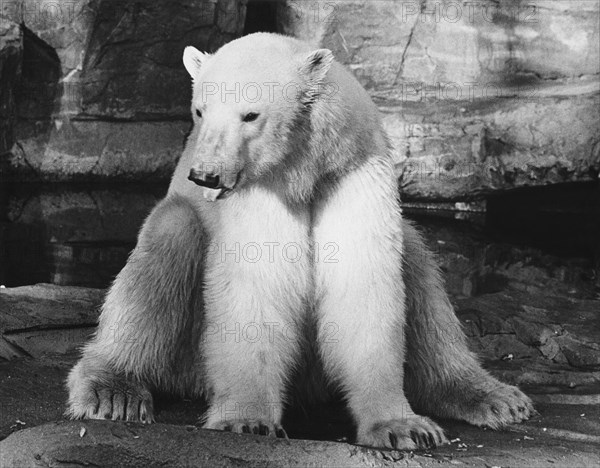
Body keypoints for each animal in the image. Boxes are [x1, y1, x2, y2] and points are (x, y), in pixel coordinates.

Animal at [67, 33, 536, 450]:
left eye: (250, 115)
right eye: (199, 110)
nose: (205, 175)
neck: (302, 170)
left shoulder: (351, 173)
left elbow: (364, 283)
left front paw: (404, 427)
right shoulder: (261, 189)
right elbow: (256, 285)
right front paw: (247, 421)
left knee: (418, 266)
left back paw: (494, 397)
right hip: (187, 348)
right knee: (165, 248)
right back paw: (115, 392)